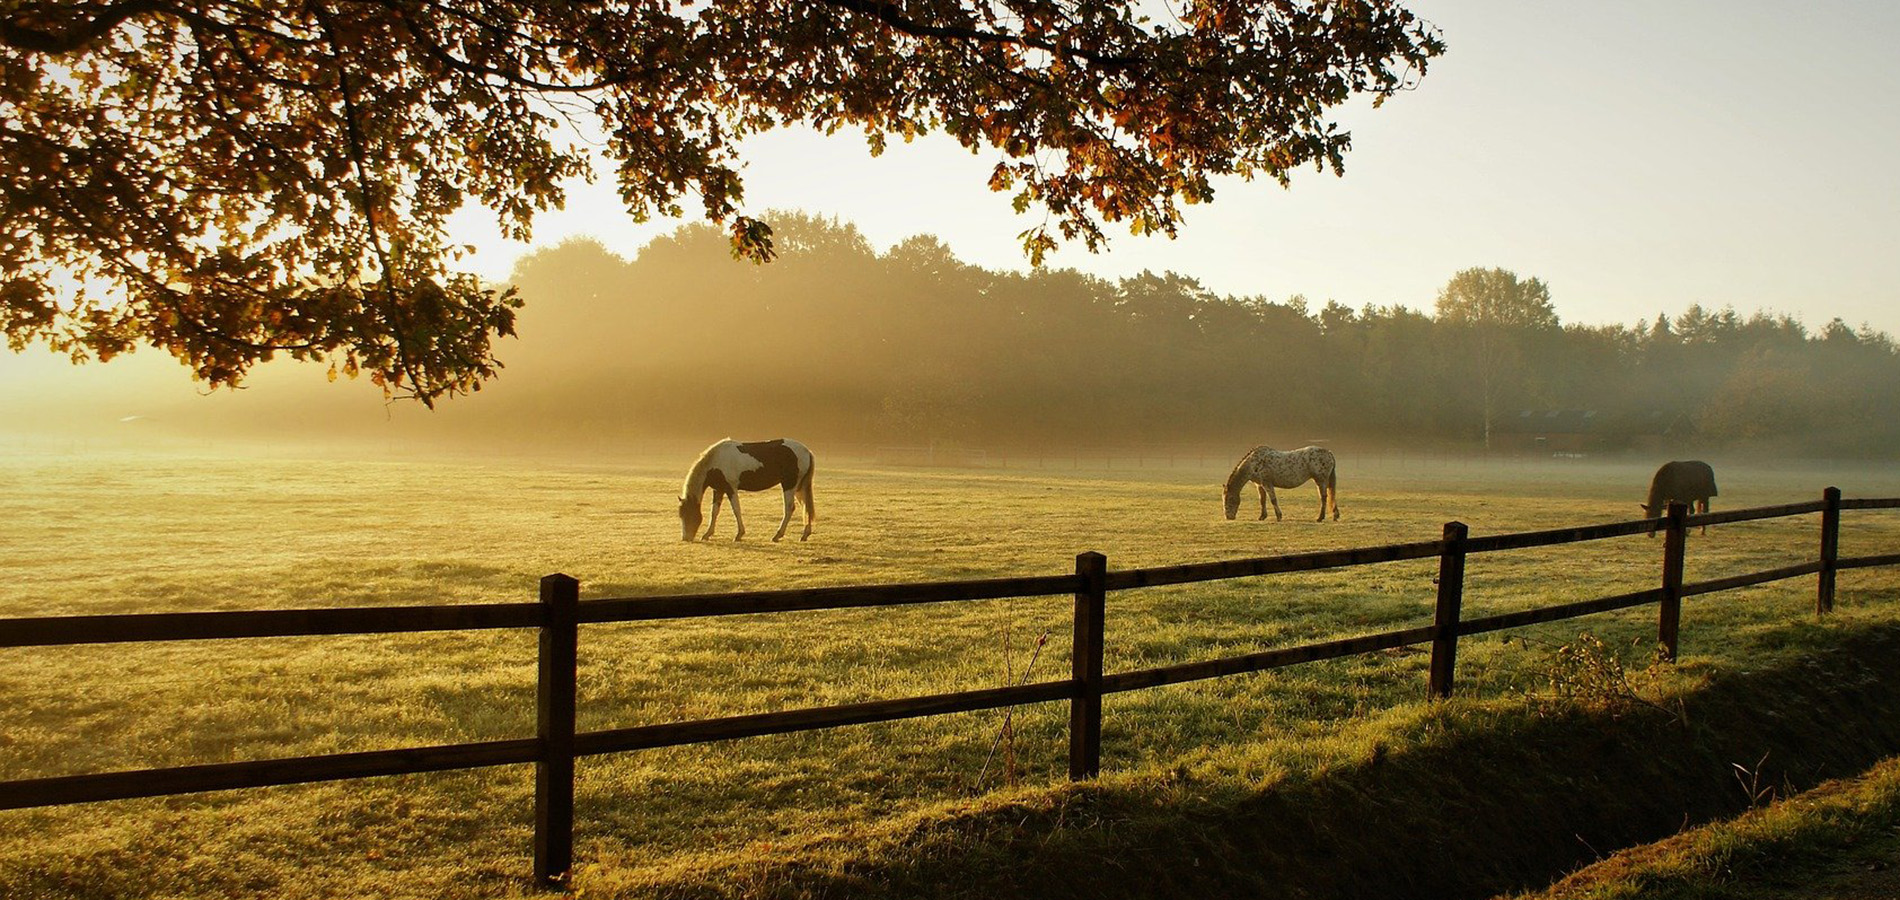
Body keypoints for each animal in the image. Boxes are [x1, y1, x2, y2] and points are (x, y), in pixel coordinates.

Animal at [678, 438, 816, 542]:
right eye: (681, 515)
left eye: (689, 514)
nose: (686, 538)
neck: (715, 461)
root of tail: (806, 451)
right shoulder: (719, 490)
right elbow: (714, 511)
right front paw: (707, 534)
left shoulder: (731, 489)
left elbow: (736, 510)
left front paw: (739, 534)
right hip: (799, 487)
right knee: (806, 506)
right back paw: (804, 535)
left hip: (789, 485)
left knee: (789, 508)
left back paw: (777, 535)